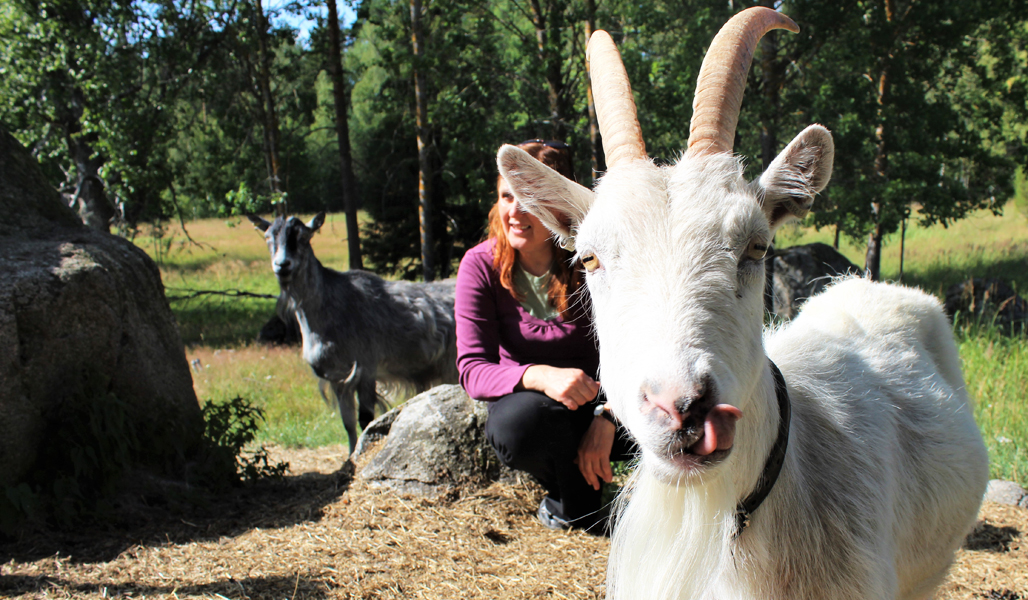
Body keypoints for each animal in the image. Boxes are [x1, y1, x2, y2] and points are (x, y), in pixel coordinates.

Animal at [248, 213, 458, 452]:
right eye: (268, 236)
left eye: (303, 237)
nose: (282, 264)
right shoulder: (336, 377)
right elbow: (347, 422)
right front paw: (349, 455)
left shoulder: (366, 368)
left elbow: (365, 419)